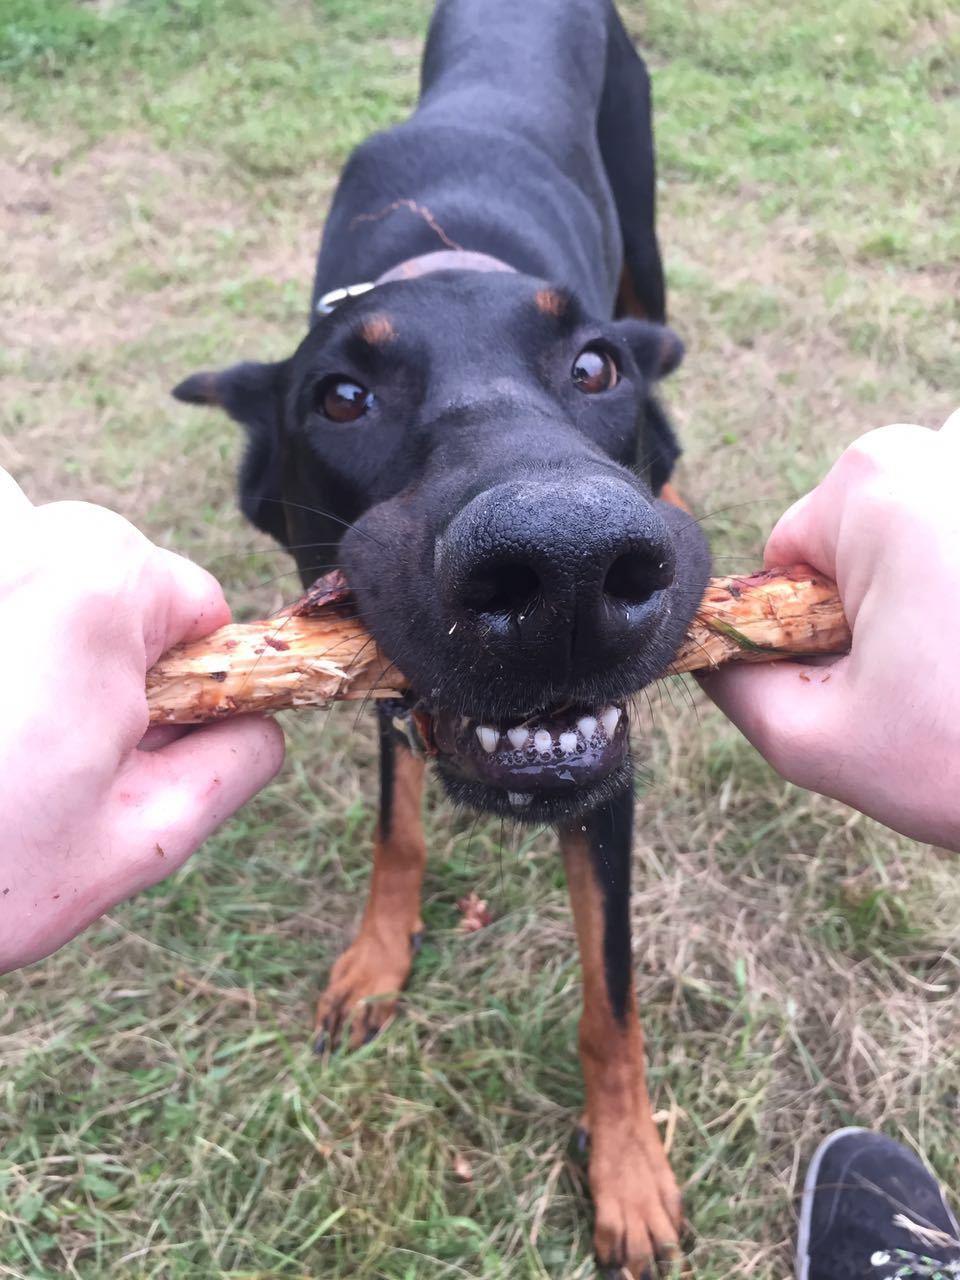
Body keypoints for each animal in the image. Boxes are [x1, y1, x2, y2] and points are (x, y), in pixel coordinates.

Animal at [175, 5, 716, 1274]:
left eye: (594, 367)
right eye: (341, 397)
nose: (567, 568)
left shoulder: (606, 772)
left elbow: (611, 995)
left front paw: (628, 1169)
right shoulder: (377, 661)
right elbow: (397, 826)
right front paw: (378, 958)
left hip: (648, 227)